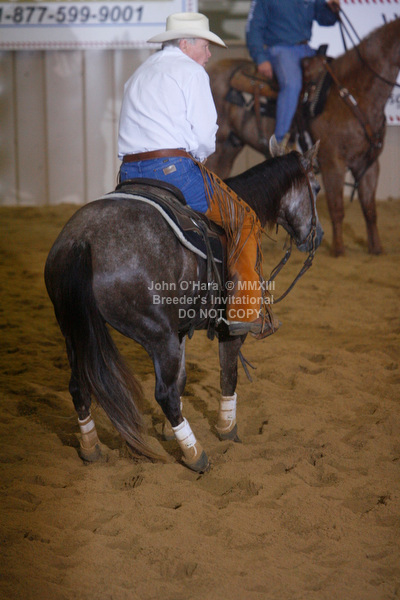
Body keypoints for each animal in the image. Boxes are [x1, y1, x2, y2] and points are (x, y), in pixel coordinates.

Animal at [44, 141, 323, 473]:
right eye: (317, 187)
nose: (317, 237)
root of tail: (83, 240)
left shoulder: (180, 328)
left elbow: (181, 378)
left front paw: (167, 431)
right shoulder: (229, 330)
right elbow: (228, 374)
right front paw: (227, 429)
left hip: (73, 330)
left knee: (79, 386)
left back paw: (91, 447)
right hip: (156, 333)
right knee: (163, 393)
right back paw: (196, 454)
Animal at [207, 18, 400, 257]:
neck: (353, 95)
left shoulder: (370, 164)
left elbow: (370, 208)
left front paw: (376, 248)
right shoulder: (333, 163)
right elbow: (337, 208)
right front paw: (338, 250)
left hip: (230, 146)